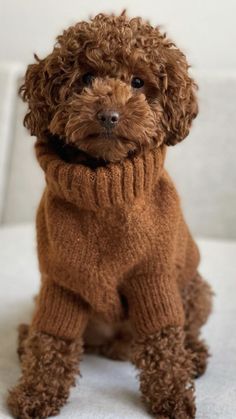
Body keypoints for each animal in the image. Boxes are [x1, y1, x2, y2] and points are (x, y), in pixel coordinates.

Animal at [7, 11, 212, 418]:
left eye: (138, 82)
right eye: (86, 79)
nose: (108, 115)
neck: (104, 187)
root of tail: (115, 344)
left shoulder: (152, 277)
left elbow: (164, 338)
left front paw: (173, 396)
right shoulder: (62, 282)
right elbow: (52, 339)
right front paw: (35, 392)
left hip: (195, 288)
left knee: (187, 329)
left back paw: (194, 356)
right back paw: (24, 340)